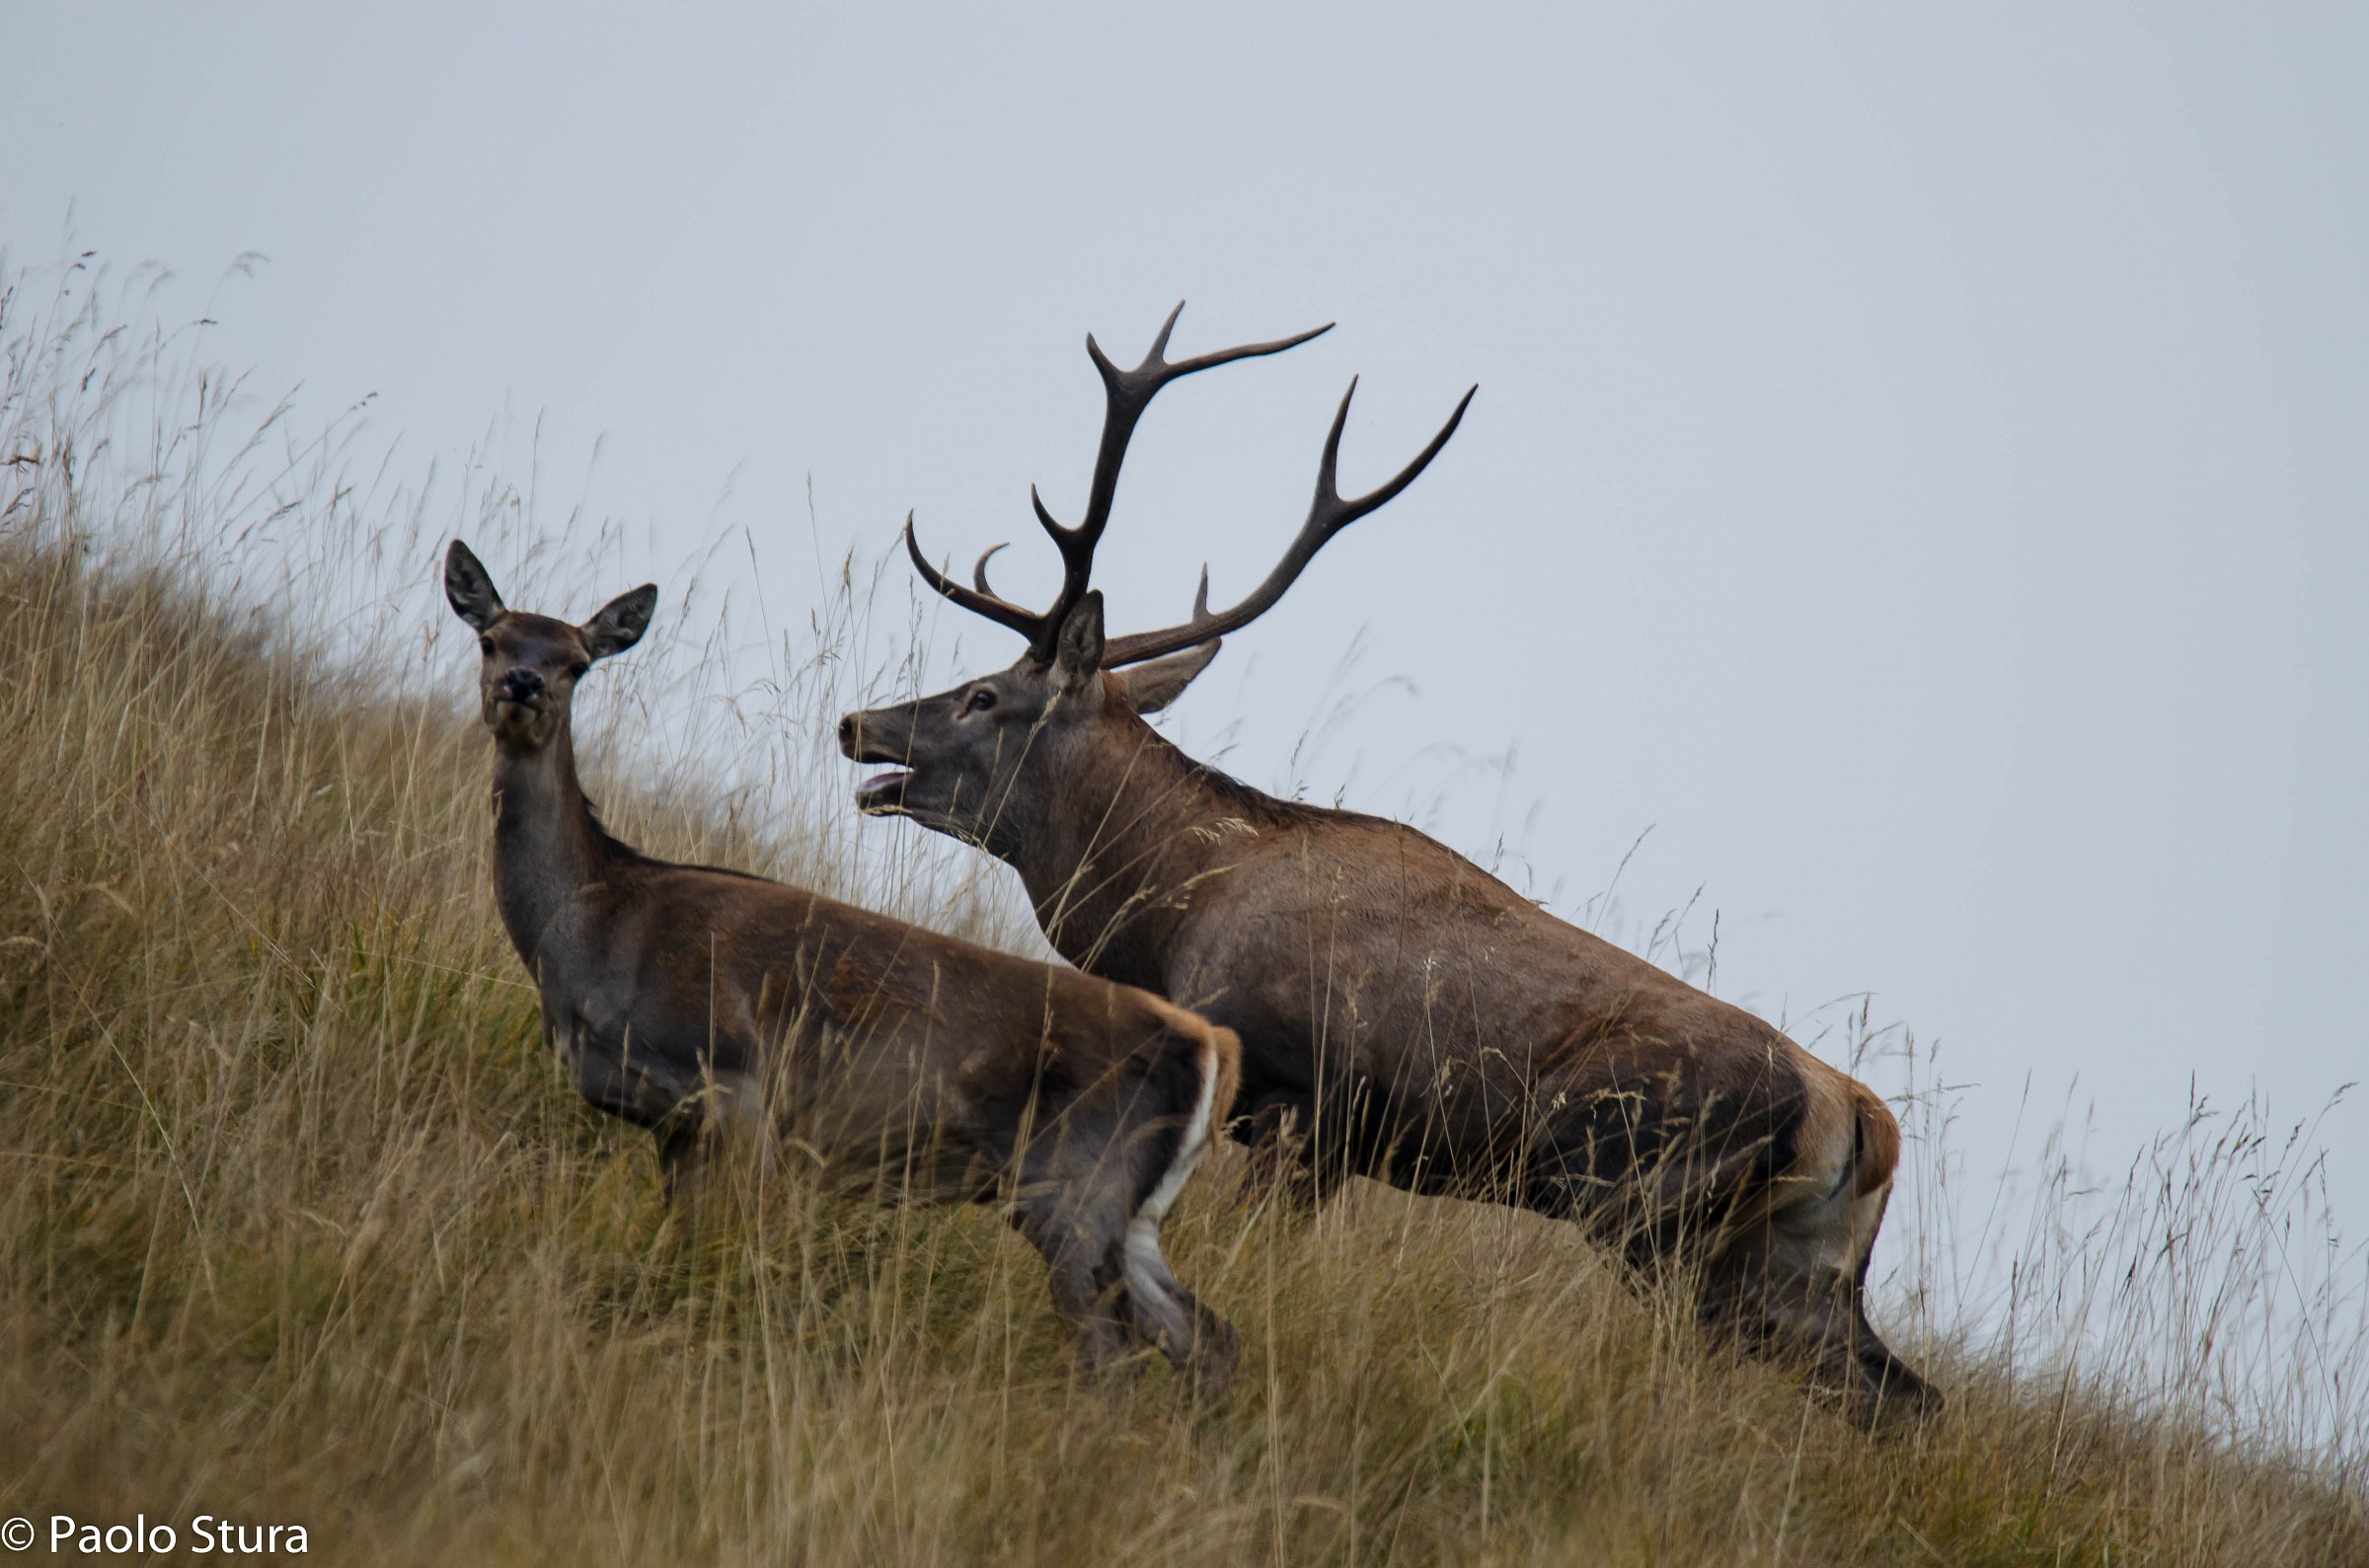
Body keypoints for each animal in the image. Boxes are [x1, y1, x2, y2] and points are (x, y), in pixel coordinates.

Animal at [443, 539, 1242, 1391]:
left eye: (576, 660)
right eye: (492, 639)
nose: (522, 685)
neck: (599, 924)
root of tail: (1212, 1044)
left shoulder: (735, 1088)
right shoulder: (677, 1126)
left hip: (1079, 1190)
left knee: (1116, 1357)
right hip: (1123, 1212)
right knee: (1210, 1336)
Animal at [836, 306, 1937, 1418]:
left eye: (982, 694)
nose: (857, 723)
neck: (1175, 916)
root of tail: (1858, 1114)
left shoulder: (1306, 1101)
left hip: (1653, 1208)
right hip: (1798, 1255)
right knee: (1899, 1393)